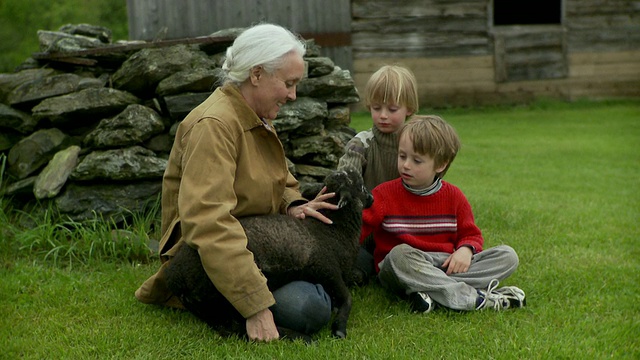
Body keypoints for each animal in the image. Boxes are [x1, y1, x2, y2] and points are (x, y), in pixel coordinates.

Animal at [165, 167, 372, 342]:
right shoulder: (326, 269)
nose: (371, 198)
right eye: (361, 186)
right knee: (236, 328)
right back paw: (301, 337)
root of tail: (174, 275)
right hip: (219, 294)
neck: (334, 229)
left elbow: (360, 277)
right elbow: (347, 298)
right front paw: (339, 329)